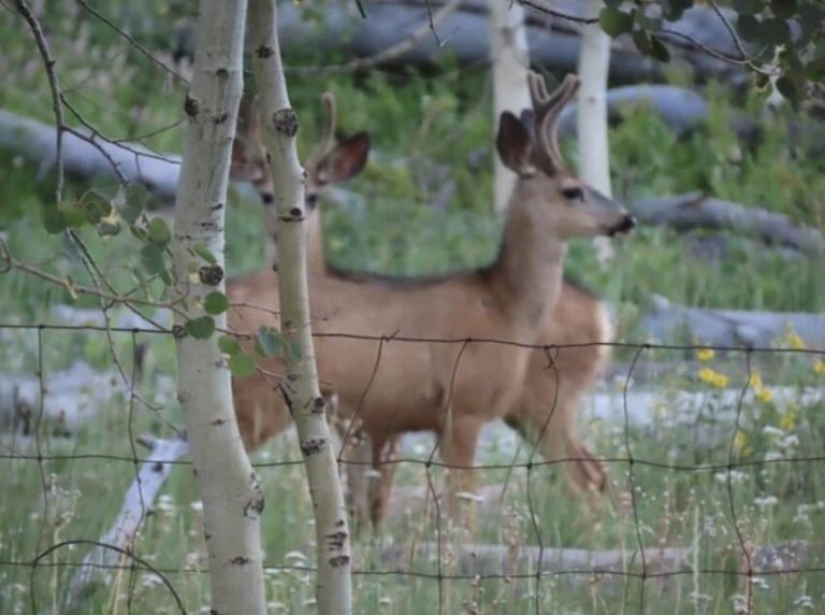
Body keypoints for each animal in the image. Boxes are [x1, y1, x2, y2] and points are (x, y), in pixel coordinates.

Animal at [222, 72, 636, 532]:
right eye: (572, 191)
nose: (626, 219)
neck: (505, 305)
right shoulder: (461, 407)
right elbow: (460, 511)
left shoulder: (389, 419)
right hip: (257, 393)